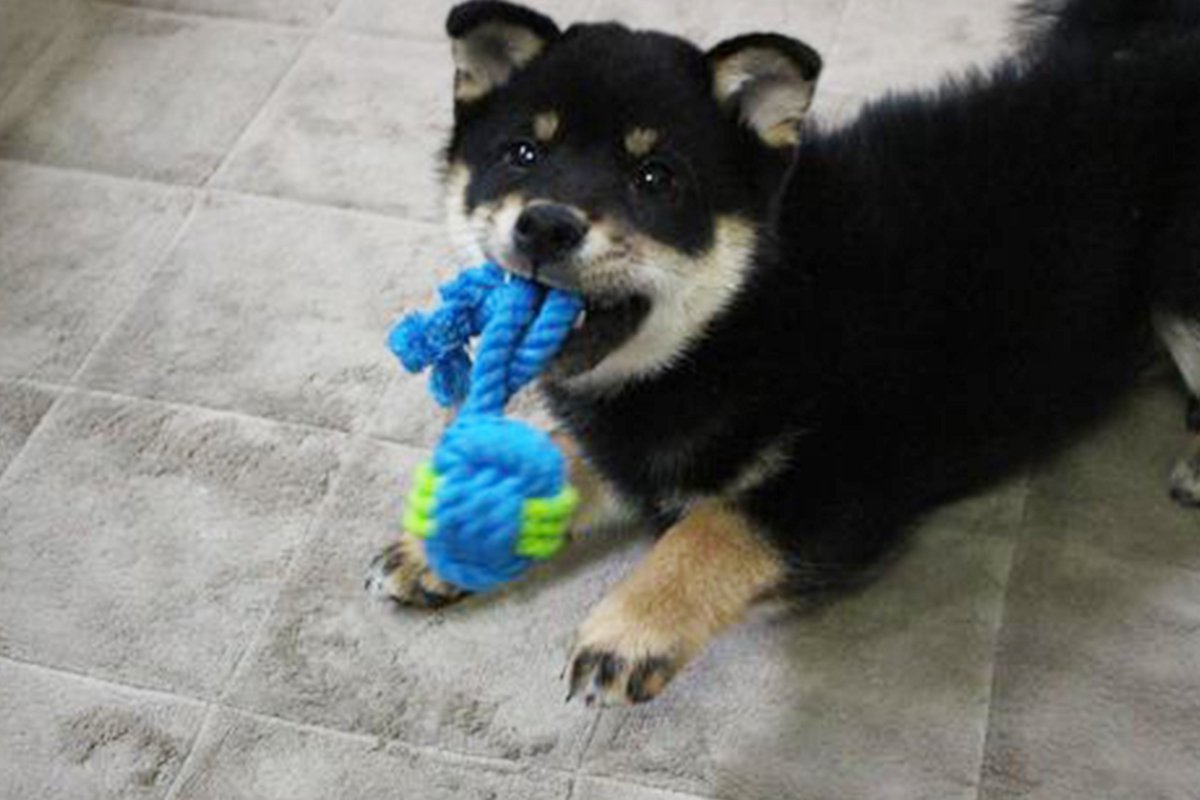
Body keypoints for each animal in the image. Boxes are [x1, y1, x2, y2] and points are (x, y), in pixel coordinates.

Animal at [364, 0, 1200, 705]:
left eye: (655, 177)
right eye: (523, 153)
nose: (544, 224)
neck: (742, 318)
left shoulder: (847, 481)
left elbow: (716, 525)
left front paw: (632, 626)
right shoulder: (631, 445)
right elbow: (561, 457)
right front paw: (448, 534)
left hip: (1176, 284)